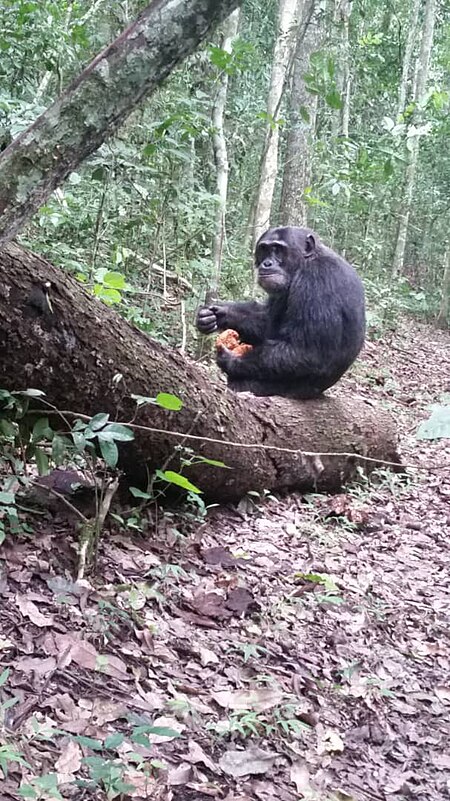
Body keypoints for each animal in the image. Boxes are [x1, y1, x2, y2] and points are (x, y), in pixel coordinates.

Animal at [197, 223, 366, 398]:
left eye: (277, 249)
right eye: (264, 249)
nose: (267, 263)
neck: (304, 263)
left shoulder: (317, 282)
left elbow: (306, 351)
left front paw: (231, 359)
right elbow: (266, 320)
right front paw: (218, 314)